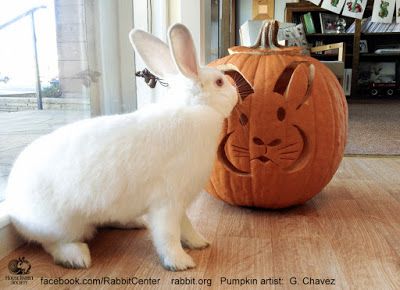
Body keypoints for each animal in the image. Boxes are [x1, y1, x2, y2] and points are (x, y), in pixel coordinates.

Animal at [4, 23, 239, 270]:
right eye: (220, 82)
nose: (236, 92)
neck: (194, 108)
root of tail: (13, 205)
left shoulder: (179, 203)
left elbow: (186, 226)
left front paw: (200, 243)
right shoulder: (167, 202)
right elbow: (169, 234)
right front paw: (180, 262)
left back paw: (134, 223)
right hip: (62, 225)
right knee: (53, 244)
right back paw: (77, 257)